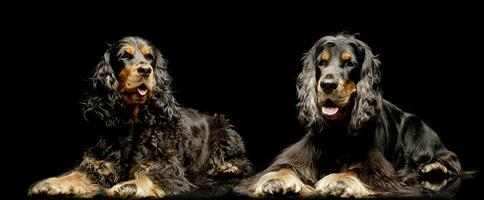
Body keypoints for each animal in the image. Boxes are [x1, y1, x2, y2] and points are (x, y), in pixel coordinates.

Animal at [28, 36, 253, 198]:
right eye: (124, 56)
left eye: (149, 57)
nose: (145, 69)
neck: (132, 123)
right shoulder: (101, 164)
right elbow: (77, 173)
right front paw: (51, 183)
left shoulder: (167, 168)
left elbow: (149, 177)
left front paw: (127, 186)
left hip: (225, 130)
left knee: (240, 163)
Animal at [238, 33, 462, 198]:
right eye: (321, 63)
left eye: (349, 63)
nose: (327, 85)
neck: (338, 128)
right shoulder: (303, 153)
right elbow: (285, 166)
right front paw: (275, 179)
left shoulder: (377, 165)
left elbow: (358, 169)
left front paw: (338, 180)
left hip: (416, 127)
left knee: (450, 159)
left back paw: (433, 167)